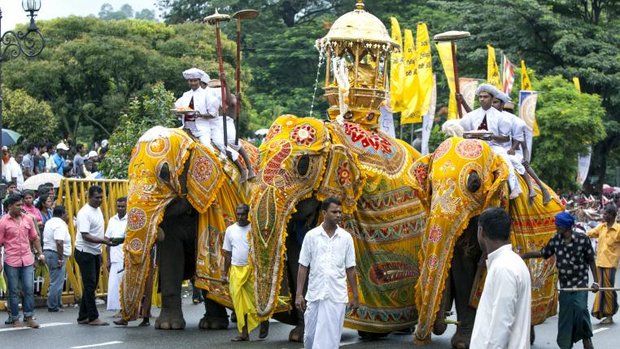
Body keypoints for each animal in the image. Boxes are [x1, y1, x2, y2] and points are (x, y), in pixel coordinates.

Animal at [120, 126, 258, 328]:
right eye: (127, 176)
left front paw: (213, 325)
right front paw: (168, 326)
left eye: (164, 173)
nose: (126, 320)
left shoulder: (214, 202)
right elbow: (171, 256)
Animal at [247, 115, 426, 340]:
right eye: (256, 163)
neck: (330, 133)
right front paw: (299, 335)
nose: (262, 330)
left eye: (303, 165)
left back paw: (392, 330)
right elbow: (300, 262)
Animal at [410, 137, 564, 348]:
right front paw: (461, 343)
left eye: (474, 183)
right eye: (430, 186)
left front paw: (464, 343)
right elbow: (462, 270)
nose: (420, 338)